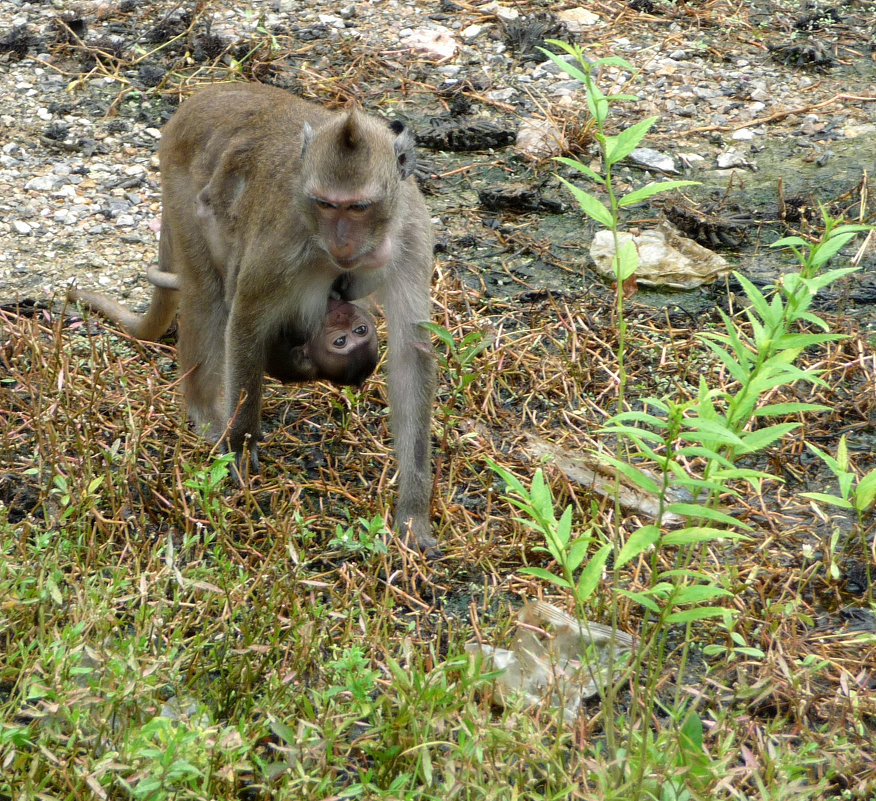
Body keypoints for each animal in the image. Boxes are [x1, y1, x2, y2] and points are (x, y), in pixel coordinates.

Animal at [68, 84, 438, 552]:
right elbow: (245, 320)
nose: (340, 240)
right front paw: (241, 447)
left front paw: (413, 510)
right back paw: (206, 412)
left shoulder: (411, 238)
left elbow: (411, 357)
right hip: (183, 184)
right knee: (208, 293)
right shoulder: (286, 241)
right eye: (325, 204)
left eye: (358, 208)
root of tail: (205, 99)